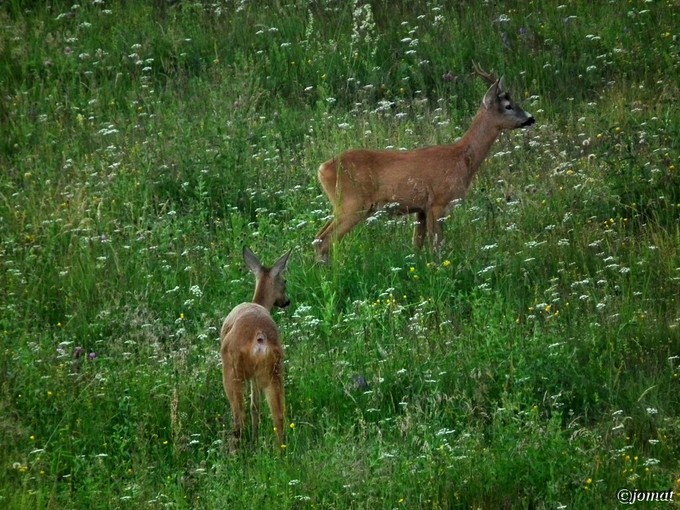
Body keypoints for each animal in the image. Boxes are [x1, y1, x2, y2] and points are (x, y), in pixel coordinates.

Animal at [219, 247, 290, 450]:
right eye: (285, 281)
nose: (287, 301)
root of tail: (260, 337)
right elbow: (256, 406)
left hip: (232, 371)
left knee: (238, 417)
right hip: (274, 369)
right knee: (278, 414)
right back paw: (280, 451)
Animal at [310, 62, 532, 262]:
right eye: (508, 106)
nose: (531, 118)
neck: (462, 159)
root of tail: (322, 168)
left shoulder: (421, 209)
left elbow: (417, 245)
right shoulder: (438, 202)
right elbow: (437, 246)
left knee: (319, 238)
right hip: (352, 203)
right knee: (324, 240)